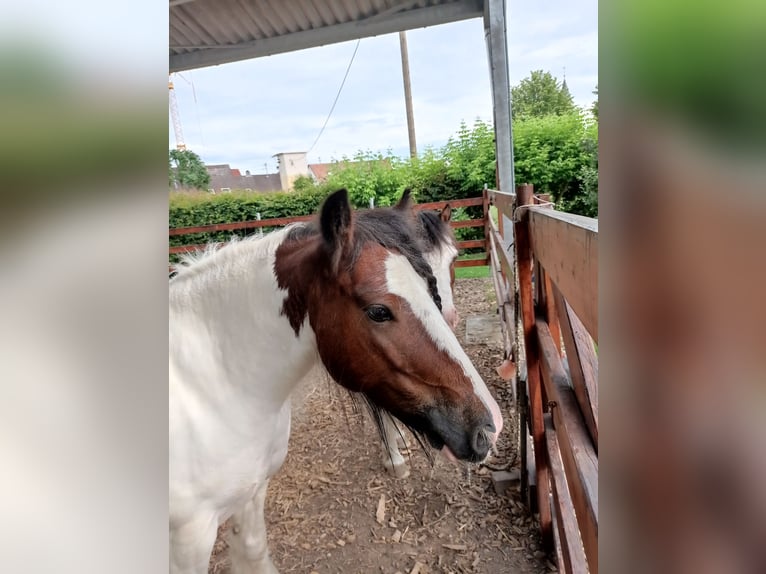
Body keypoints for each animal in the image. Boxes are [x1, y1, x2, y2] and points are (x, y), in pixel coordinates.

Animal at [169, 188, 503, 573]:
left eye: (450, 263)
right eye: (378, 311)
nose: (491, 426)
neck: (214, 386)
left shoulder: (251, 493)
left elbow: (254, 553)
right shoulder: (190, 537)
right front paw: (395, 458)